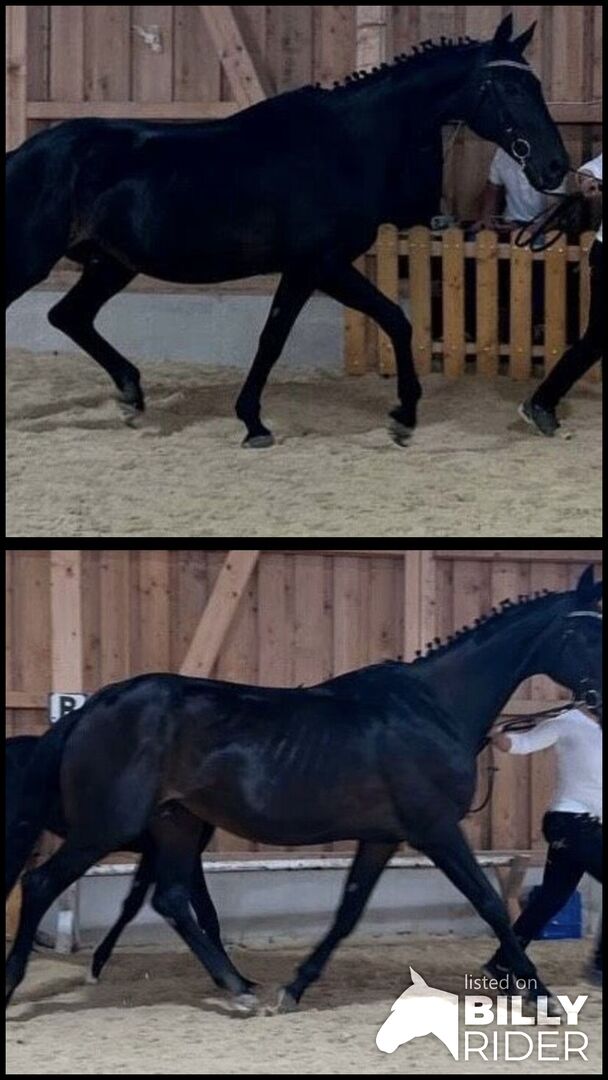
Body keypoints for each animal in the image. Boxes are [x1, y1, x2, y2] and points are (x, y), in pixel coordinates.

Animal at [5, 15, 568, 447]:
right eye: (511, 87)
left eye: (537, 84)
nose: (555, 166)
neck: (345, 144)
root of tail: (22, 155)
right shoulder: (319, 265)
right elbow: (322, 331)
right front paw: (397, 417)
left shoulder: (313, 269)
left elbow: (340, 327)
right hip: (33, 262)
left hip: (111, 265)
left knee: (69, 315)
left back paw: (130, 396)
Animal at [6, 565, 601, 1013]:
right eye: (588, 632)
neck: (432, 708)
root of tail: (91, 707)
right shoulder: (435, 830)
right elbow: (490, 905)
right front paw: (542, 995)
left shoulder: (383, 837)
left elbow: (348, 913)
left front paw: (294, 987)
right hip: (107, 826)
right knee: (41, 883)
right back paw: (16, 985)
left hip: (176, 822)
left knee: (170, 898)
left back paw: (238, 988)